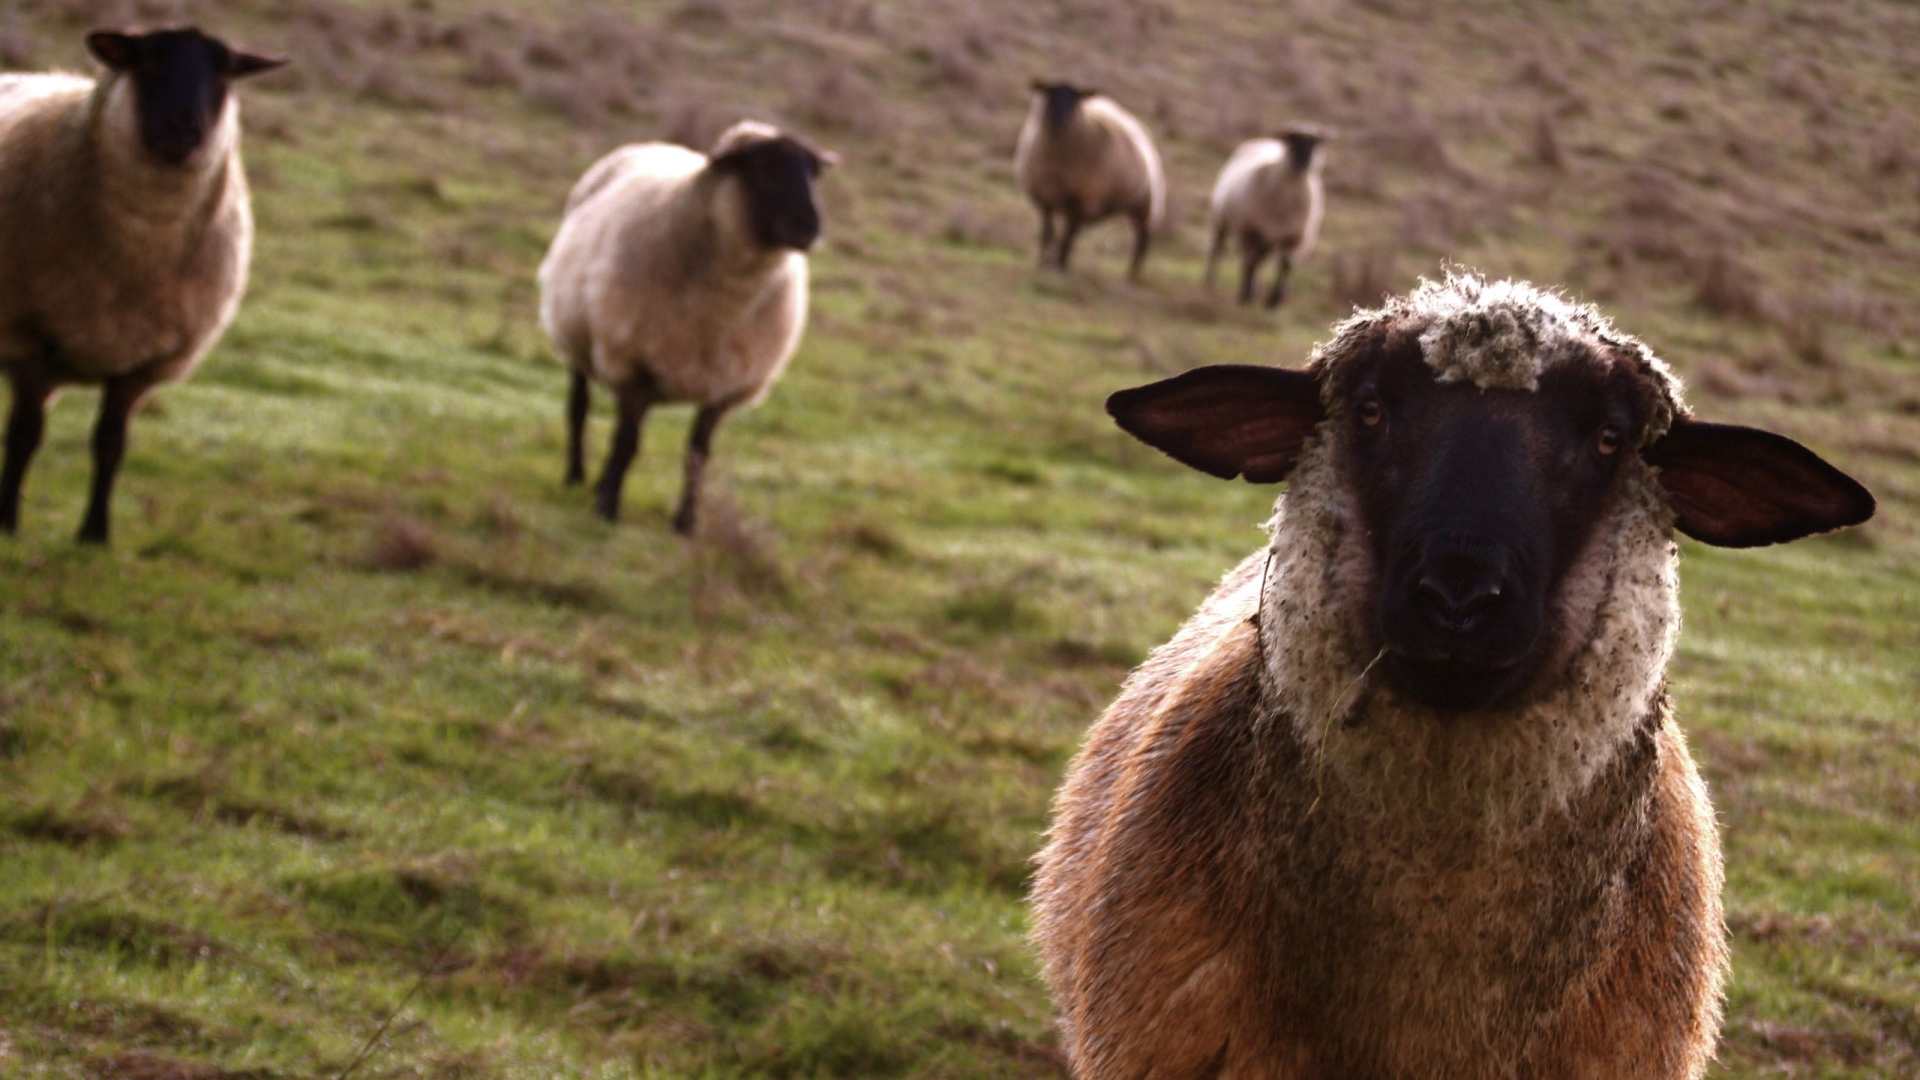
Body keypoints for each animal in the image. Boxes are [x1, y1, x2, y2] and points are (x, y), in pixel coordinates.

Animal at [0, 26, 284, 541]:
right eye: (146, 61)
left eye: (224, 73)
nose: (183, 128)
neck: (140, 249)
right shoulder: (31, 340)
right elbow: (24, 436)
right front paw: (7, 522)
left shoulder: (143, 363)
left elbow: (110, 443)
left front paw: (95, 535)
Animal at [541, 119, 840, 530]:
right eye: (764, 167)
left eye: (814, 172)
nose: (811, 228)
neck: (723, 302)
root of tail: (654, 143)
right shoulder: (634, 363)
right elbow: (627, 442)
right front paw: (608, 509)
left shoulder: (724, 382)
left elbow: (697, 453)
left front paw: (685, 522)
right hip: (578, 341)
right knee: (579, 408)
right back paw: (576, 476)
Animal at [1013, 81, 1159, 278]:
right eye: (1050, 94)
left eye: (1075, 99)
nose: (1059, 118)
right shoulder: (1045, 198)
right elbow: (1048, 233)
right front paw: (1042, 262)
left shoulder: (1081, 199)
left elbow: (1067, 236)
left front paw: (1059, 266)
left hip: (1141, 204)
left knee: (1142, 238)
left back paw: (1133, 273)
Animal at [1205, 129, 1328, 311]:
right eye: (1292, 141)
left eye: (1314, 144)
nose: (1304, 163)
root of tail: (1264, 141)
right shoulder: (1250, 231)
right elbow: (1250, 262)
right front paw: (1246, 295)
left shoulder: (1295, 237)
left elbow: (1285, 265)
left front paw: (1274, 299)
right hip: (1221, 220)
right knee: (1218, 250)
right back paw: (1209, 282)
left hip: (1267, 239)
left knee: (1260, 261)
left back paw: (1257, 288)